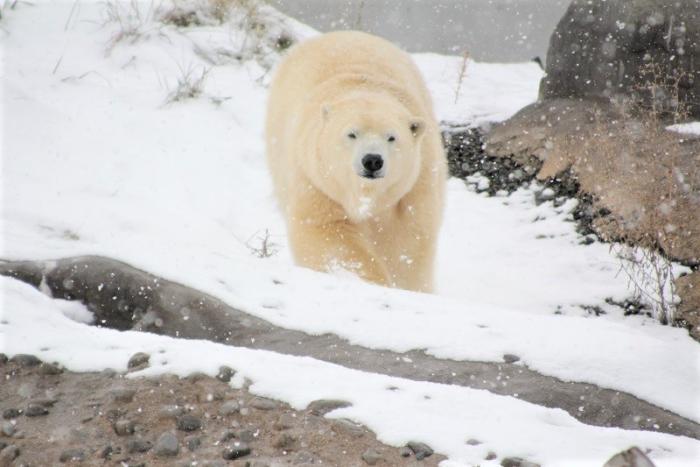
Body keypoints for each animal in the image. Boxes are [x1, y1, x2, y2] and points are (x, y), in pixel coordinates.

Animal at [266, 30, 446, 292]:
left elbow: (407, 243)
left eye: (392, 137)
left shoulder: (415, 185)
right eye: (352, 134)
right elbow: (329, 232)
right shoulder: (318, 181)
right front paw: (371, 279)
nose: (372, 160)